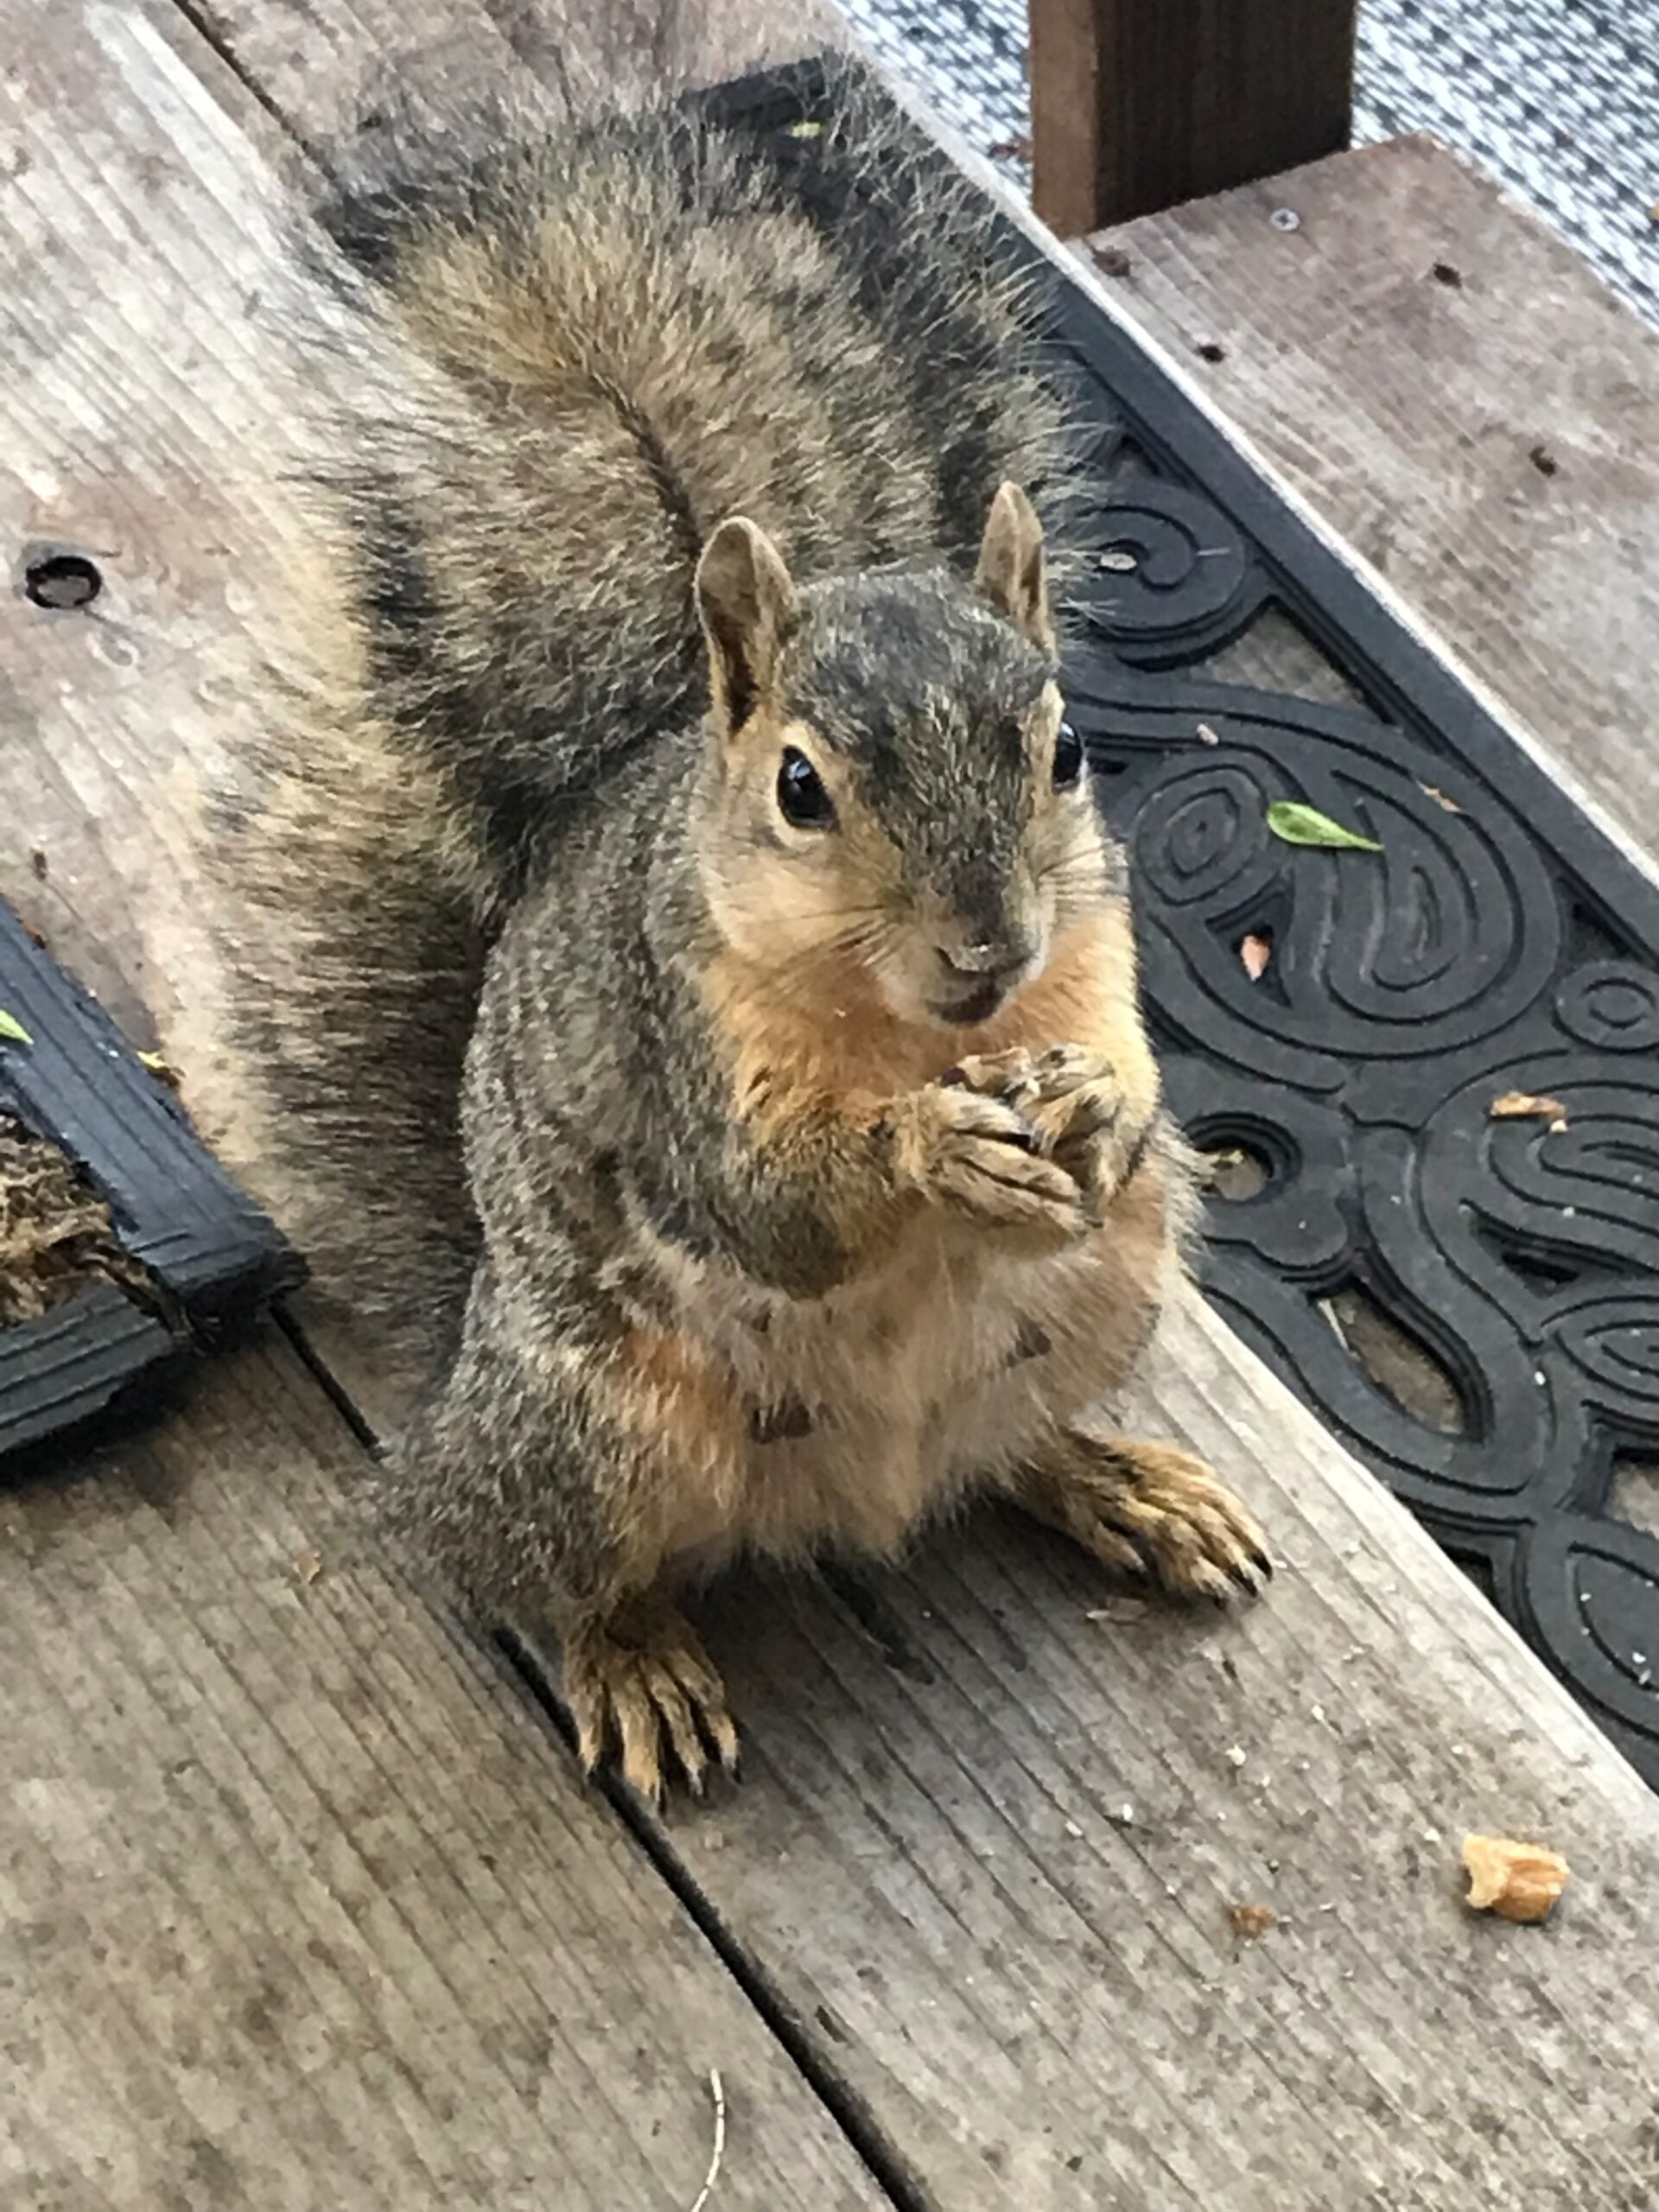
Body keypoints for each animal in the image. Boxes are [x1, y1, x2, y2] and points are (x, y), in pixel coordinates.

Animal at [183, 51, 1268, 1800]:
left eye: (1068, 751)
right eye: (802, 789)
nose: (987, 950)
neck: (915, 1030)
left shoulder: (1099, 953)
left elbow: (1133, 1073)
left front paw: (1099, 1110)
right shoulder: (671, 1043)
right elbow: (763, 1208)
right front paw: (929, 1151)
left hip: (1097, 1296)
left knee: (1002, 1456)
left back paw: (1118, 1481)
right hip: (593, 1431)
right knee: (534, 1570)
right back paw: (629, 1660)